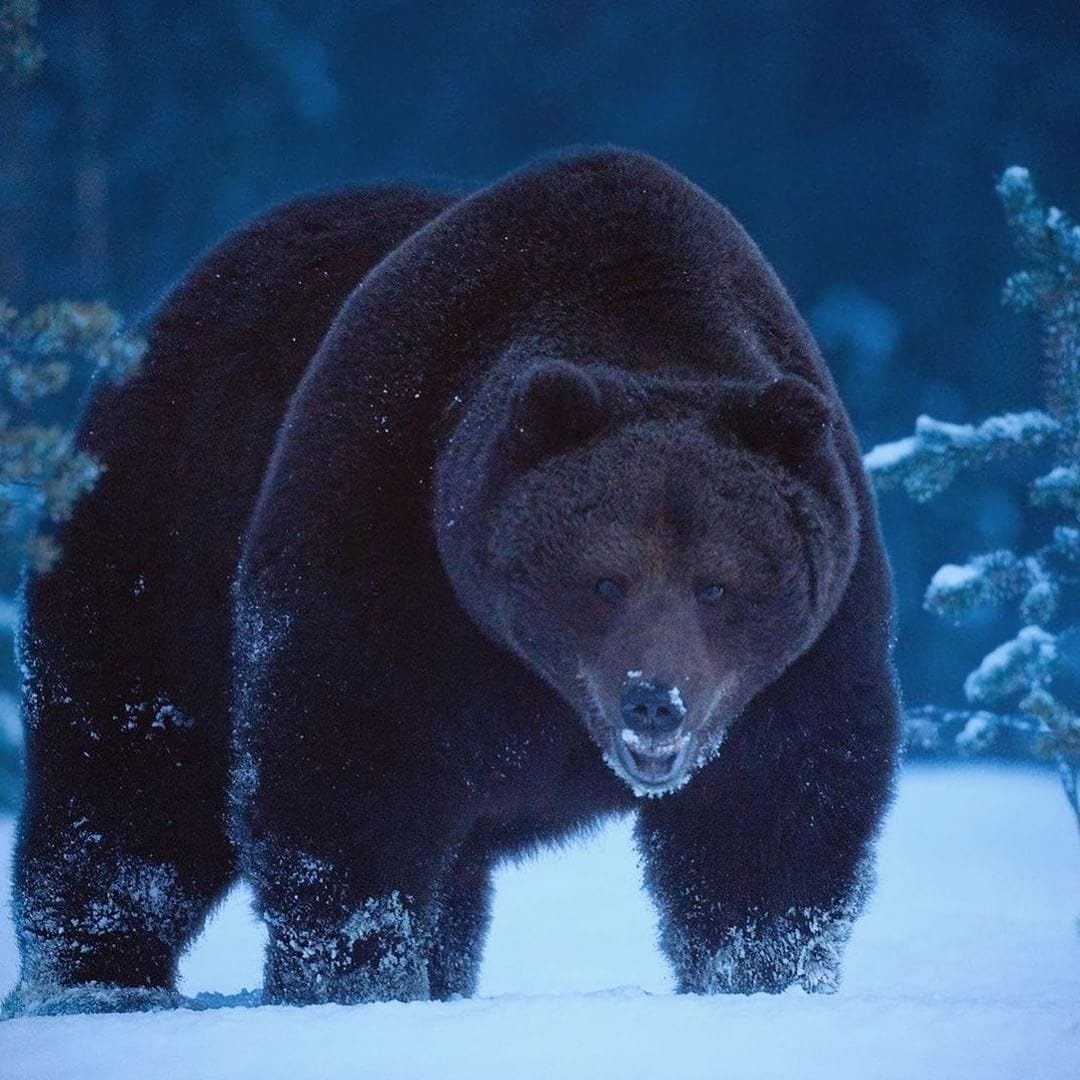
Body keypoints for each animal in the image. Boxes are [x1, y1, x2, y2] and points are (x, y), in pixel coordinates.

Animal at [6, 148, 900, 1015]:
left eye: (717, 585)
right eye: (605, 581)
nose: (655, 700)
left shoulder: (808, 645)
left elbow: (774, 819)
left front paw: (761, 981)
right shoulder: (389, 534)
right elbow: (345, 771)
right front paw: (355, 982)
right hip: (163, 532)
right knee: (131, 781)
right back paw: (98, 982)